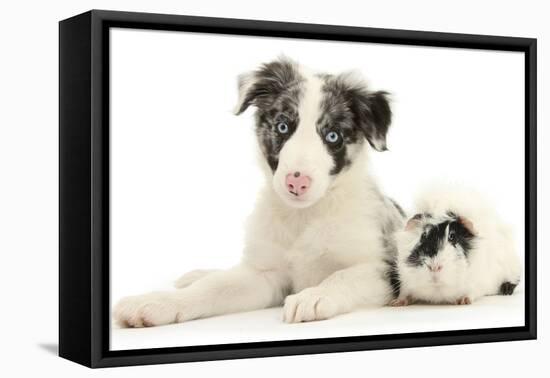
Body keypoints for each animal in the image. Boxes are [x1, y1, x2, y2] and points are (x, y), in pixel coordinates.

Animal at [113, 57, 406, 326]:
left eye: (332, 136)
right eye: (282, 126)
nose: (296, 183)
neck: (304, 217)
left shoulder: (383, 269)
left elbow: (343, 276)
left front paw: (312, 296)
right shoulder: (265, 274)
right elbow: (214, 288)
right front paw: (157, 302)